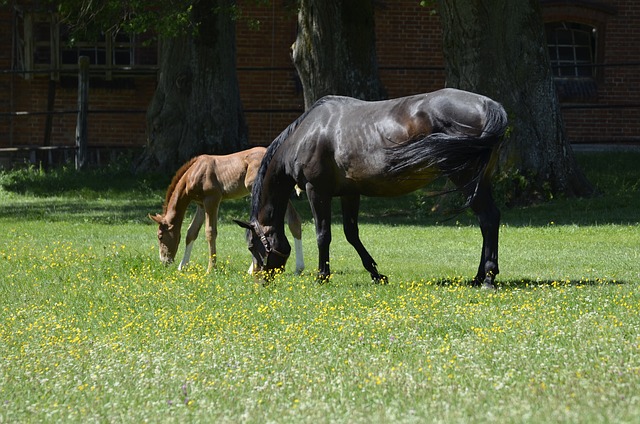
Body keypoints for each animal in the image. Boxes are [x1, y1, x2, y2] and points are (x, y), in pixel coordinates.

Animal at [234, 89, 504, 288]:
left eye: (252, 246)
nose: (260, 281)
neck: (307, 134)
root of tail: (491, 106)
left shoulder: (316, 191)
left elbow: (323, 234)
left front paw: (322, 276)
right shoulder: (349, 193)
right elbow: (351, 233)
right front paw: (376, 274)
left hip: (466, 179)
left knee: (488, 218)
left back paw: (487, 279)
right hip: (479, 182)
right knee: (488, 221)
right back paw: (479, 277)